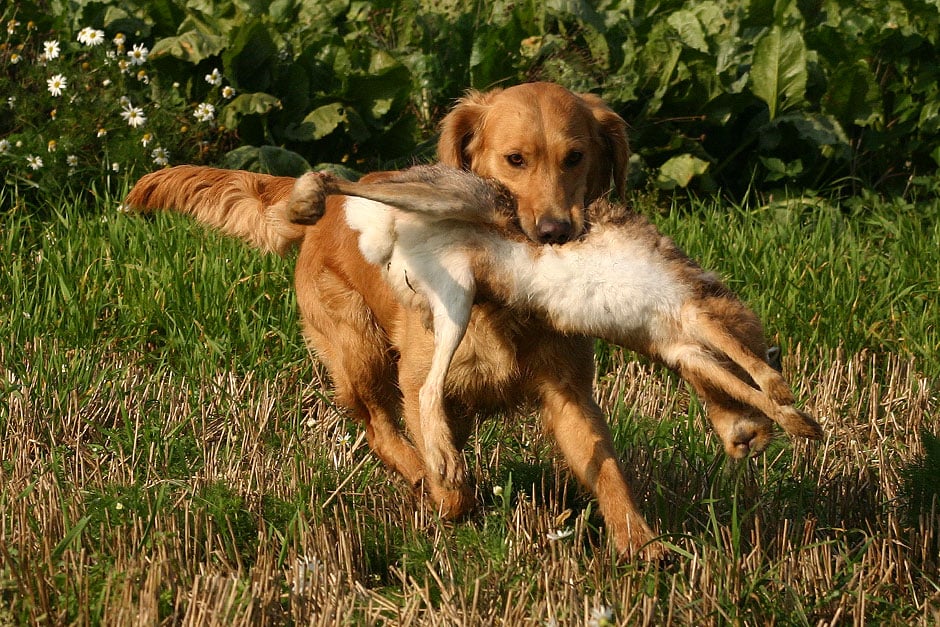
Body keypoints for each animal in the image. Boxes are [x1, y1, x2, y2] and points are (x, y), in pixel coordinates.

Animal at [126, 84, 676, 560]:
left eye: (575, 157)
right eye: (515, 159)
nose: (555, 232)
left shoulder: (569, 393)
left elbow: (607, 469)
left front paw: (641, 540)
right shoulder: (418, 382)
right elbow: (442, 463)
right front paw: (448, 497)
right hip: (360, 347)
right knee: (377, 426)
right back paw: (422, 477)